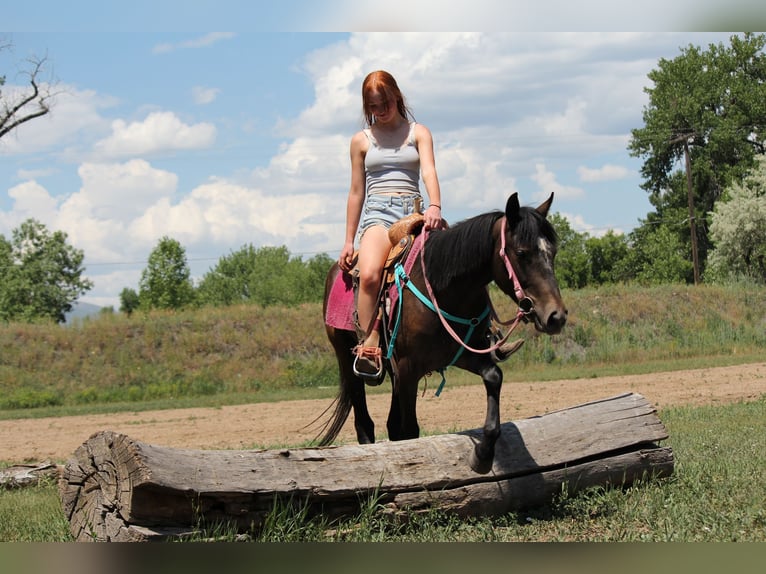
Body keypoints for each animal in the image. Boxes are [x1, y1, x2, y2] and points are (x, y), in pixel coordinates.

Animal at [319, 192, 567, 473]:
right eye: (522, 252)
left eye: (553, 252)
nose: (556, 316)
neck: (446, 289)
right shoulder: (409, 369)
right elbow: (409, 430)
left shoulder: (461, 355)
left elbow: (494, 377)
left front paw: (482, 456)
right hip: (347, 357)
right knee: (364, 422)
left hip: (393, 370)